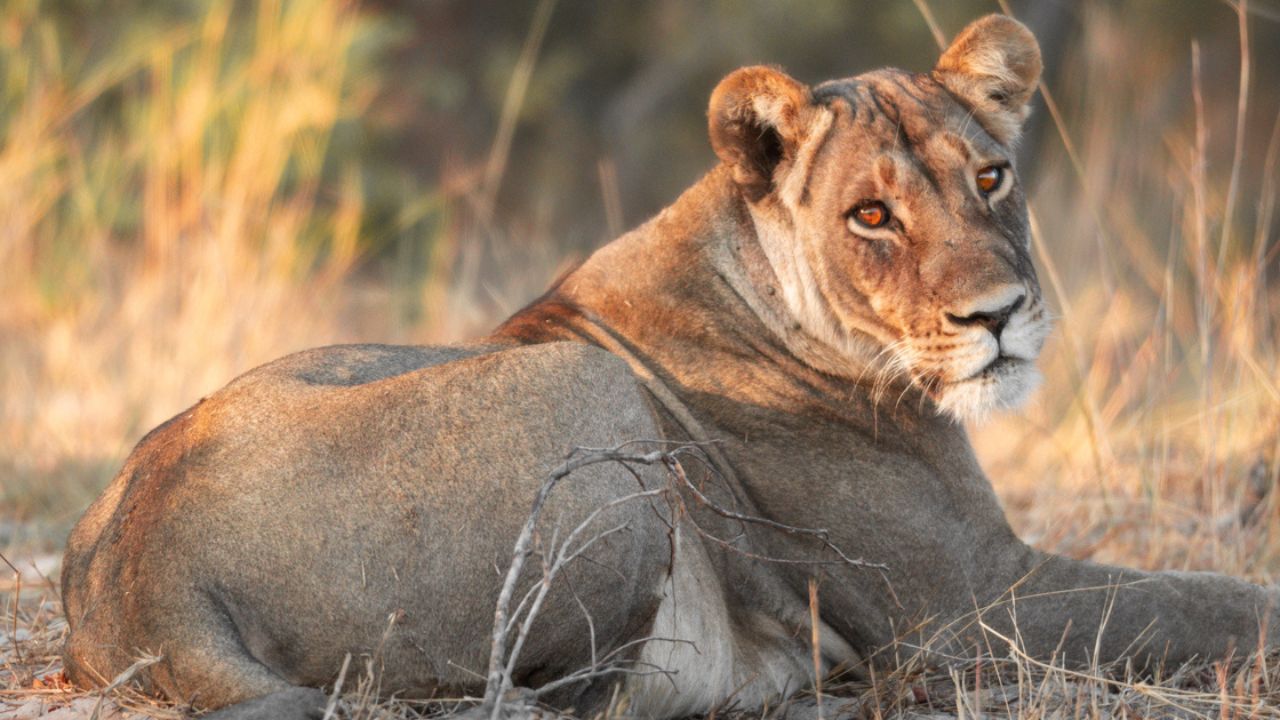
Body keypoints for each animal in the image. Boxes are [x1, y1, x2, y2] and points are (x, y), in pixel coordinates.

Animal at [61, 15, 1279, 720]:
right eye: (870, 215)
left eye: (988, 178)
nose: (1000, 316)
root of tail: (143, 570)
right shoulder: (969, 604)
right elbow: (1204, 602)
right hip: (589, 396)